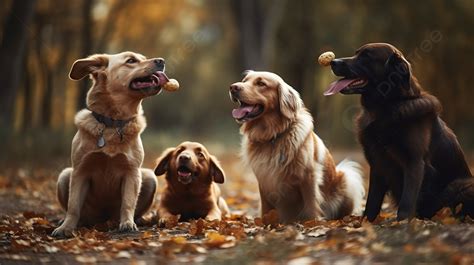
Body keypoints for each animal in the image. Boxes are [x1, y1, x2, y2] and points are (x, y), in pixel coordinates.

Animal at [52, 51, 174, 235]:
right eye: (131, 60)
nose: (162, 61)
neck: (112, 123)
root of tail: (104, 220)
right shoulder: (80, 171)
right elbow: (73, 206)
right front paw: (66, 228)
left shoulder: (132, 172)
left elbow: (128, 203)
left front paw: (127, 224)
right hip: (65, 175)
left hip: (149, 177)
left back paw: (137, 220)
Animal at [230, 70, 366, 223]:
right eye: (244, 80)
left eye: (261, 83)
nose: (233, 87)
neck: (273, 136)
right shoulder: (264, 178)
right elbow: (266, 208)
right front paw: (265, 223)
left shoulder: (309, 176)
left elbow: (311, 203)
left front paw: (313, 223)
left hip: (347, 179)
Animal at [326, 42, 474, 221]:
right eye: (356, 53)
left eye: (366, 56)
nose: (333, 62)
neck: (387, 107)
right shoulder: (378, 162)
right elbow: (372, 201)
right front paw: (366, 222)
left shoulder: (414, 162)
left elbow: (407, 200)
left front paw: (402, 223)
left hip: (462, 186)